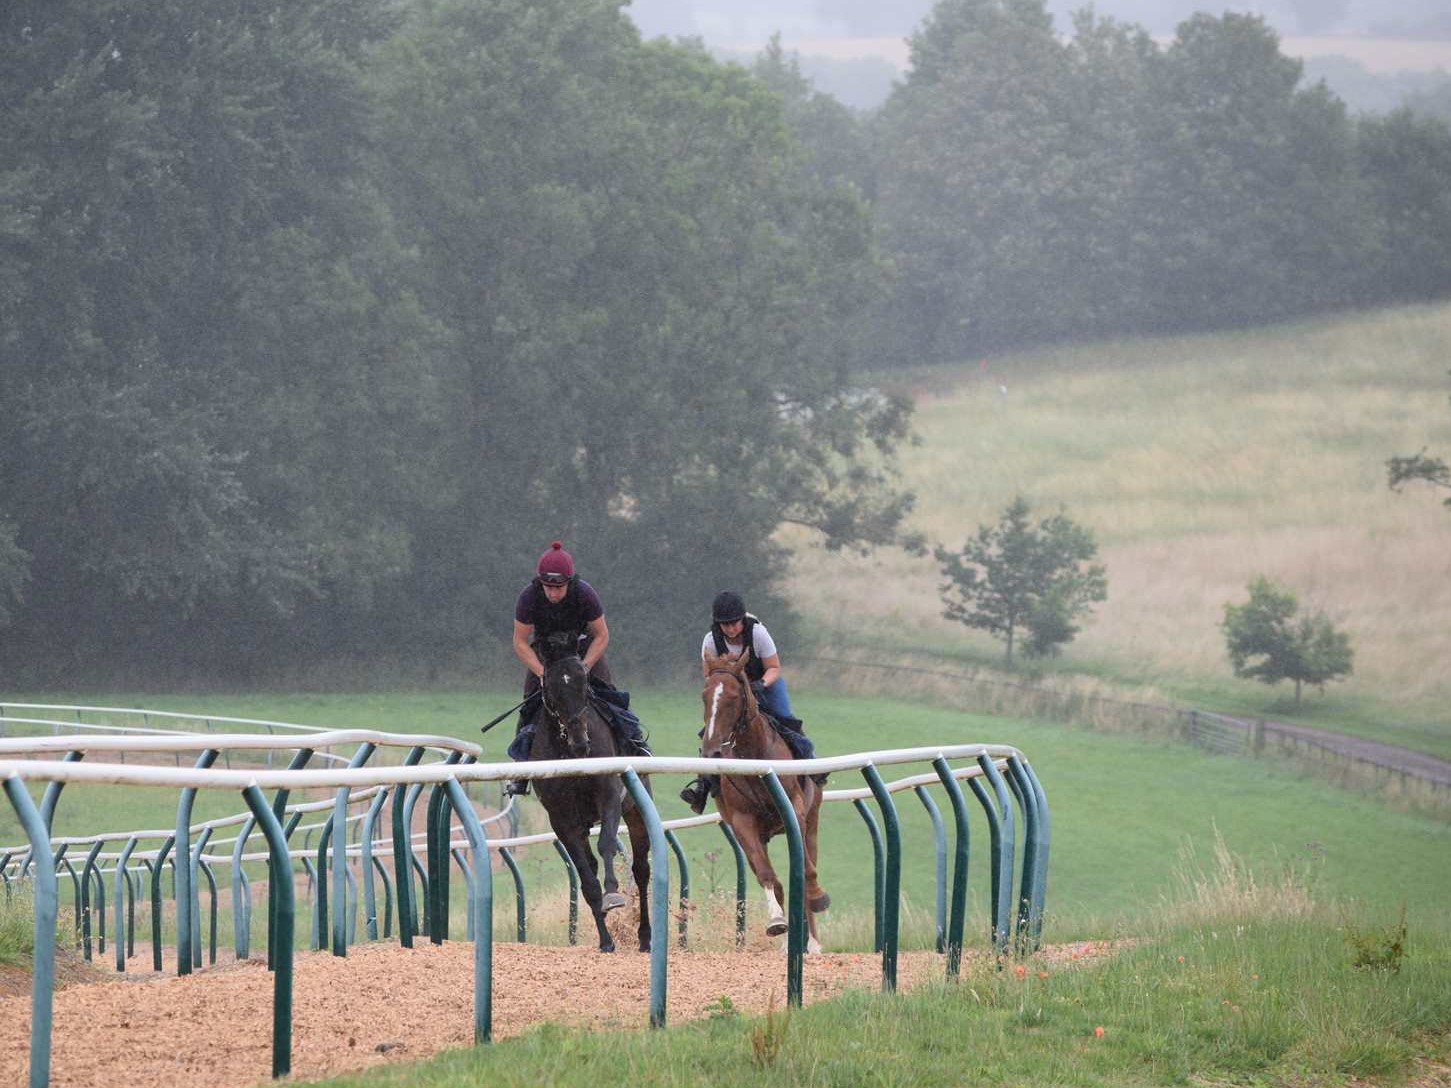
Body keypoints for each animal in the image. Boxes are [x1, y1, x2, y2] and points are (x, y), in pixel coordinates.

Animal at [531, 646, 650, 951]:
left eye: (584, 685)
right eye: (552, 692)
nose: (580, 742)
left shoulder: (609, 796)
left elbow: (607, 843)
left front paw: (614, 893)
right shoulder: (562, 820)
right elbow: (586, 879)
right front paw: (606, 939)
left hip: (636, 811)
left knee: (641, 870)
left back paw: (645, 936)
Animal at [699, 655, 829, 951]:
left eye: (734, 697)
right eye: (704, 695)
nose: (711, 751)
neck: (755, 757)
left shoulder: (796, 808)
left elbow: (806, 870)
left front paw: (817, 897)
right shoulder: (742, 822)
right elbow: (767, 874)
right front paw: (777, 922)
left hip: (813, 820)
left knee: (808, 859)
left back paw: (813, 942)